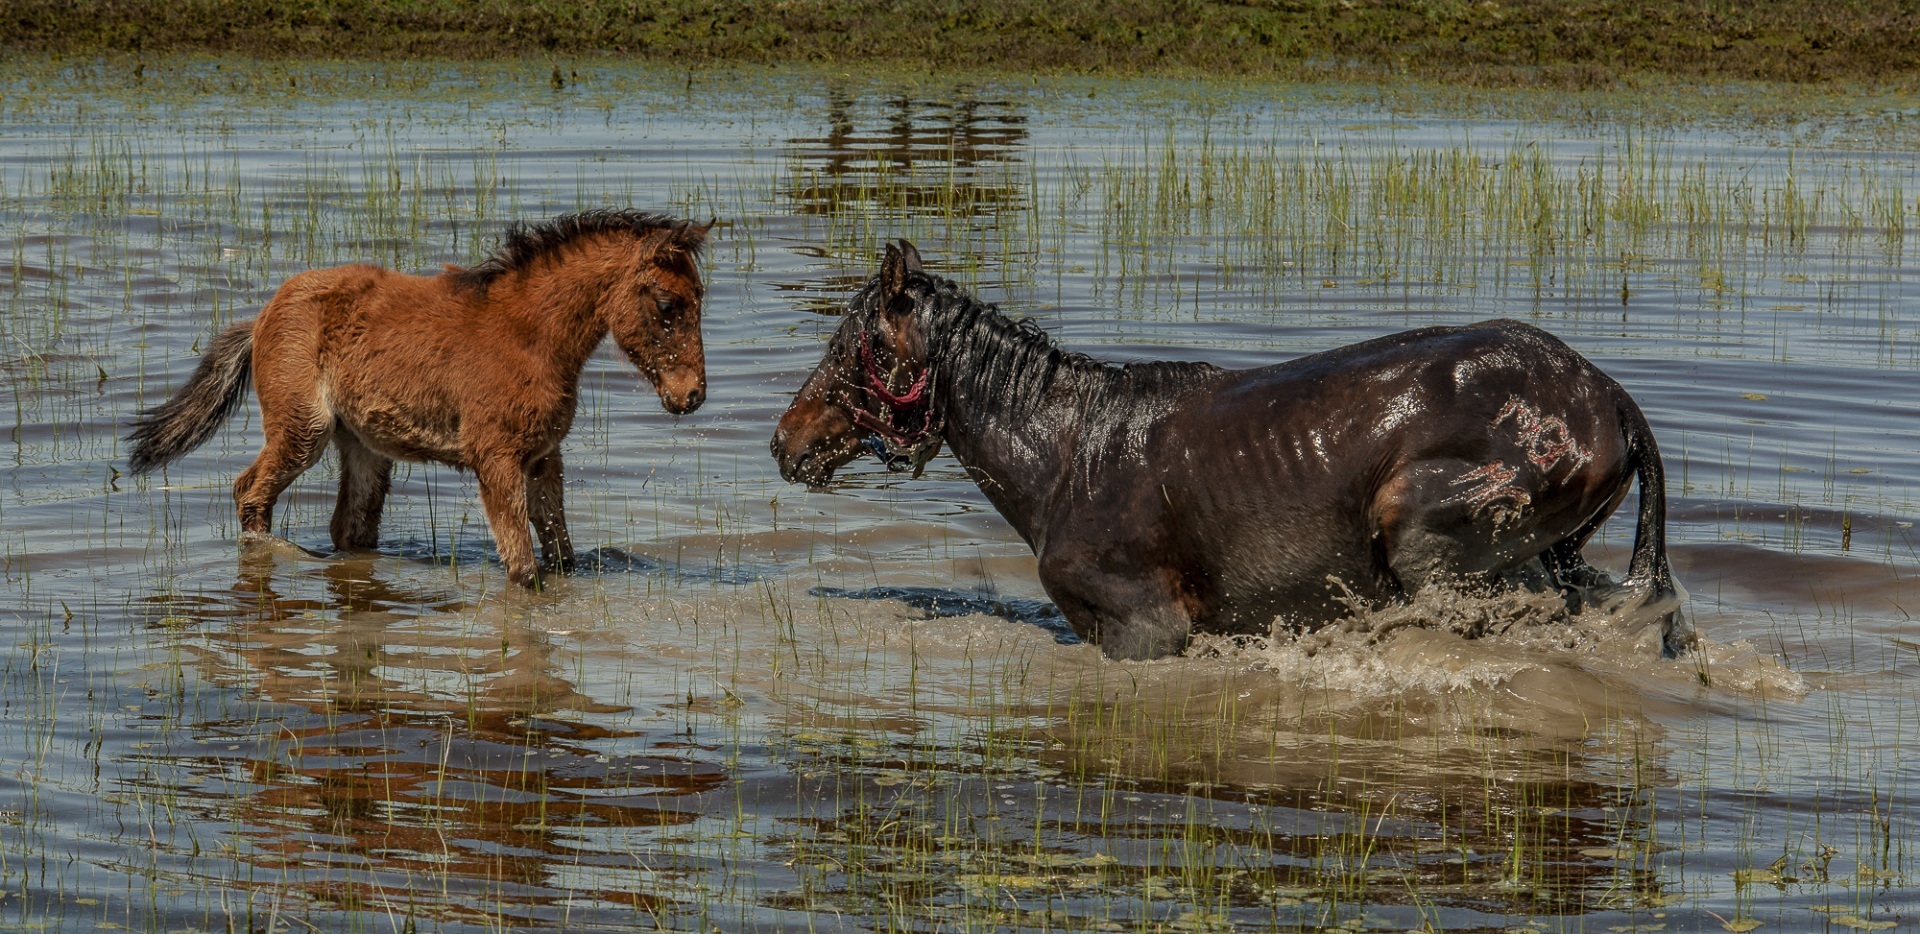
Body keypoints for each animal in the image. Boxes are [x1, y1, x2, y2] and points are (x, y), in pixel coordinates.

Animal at [129, 208, 714, 588]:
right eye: (667, 304)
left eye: (700, 298)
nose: (691, 396)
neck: (530, 337)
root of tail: (261, 317)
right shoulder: (496, 459)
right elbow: (524, 572)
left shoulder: (544, 458)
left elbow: (562, 557)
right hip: (303, 429)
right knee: (250, 493)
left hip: (362, 444)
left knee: (351, 526)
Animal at [771, 244, 1689, 661]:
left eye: (854, 345)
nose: (784, 442)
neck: (1066, 454)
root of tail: (1611, 396)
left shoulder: (1145, 630)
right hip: (1555, 549)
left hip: (1431, 531)